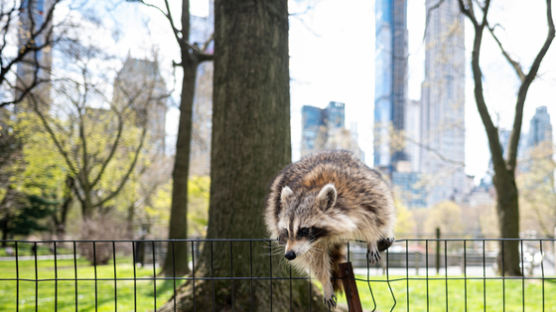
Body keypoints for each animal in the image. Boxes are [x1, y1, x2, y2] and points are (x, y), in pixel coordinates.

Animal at [264, 150, 396, 308]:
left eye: (303, 230)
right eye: (286, 230)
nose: (289, 254)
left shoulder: (363, 194)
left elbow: (375, 216)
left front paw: (372, 239)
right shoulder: (311, 245)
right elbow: (316, 260)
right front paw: (325, 282)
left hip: (373, 180)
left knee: (385, 207)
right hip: (275, 200)